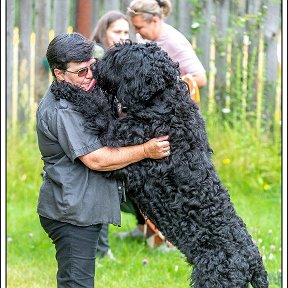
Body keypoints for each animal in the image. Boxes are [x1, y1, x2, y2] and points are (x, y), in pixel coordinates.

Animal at [51, 41, 268, 288]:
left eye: (118, 59)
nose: (95, 66)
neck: (163, 102)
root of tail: (253, 261)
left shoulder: (115, 135)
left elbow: (95, 105)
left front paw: (65, 89)